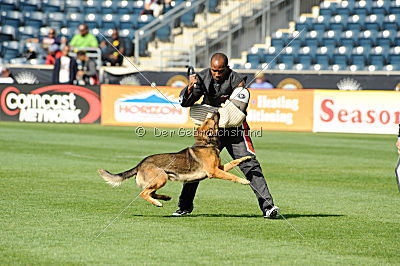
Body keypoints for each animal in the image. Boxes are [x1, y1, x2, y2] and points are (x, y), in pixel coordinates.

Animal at [98, 112, 250, 208]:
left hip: (159, 180)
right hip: (162, 177)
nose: (215, 110)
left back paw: (165, 197)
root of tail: (140, 164)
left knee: (151, 192)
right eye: (210, 121)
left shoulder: (219, 167)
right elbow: (231, 176)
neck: (206, 144)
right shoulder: (214, 172)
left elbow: (233, 163)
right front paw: (244, 181)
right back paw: (157, 203)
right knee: (143, 193)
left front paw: (246, 158)